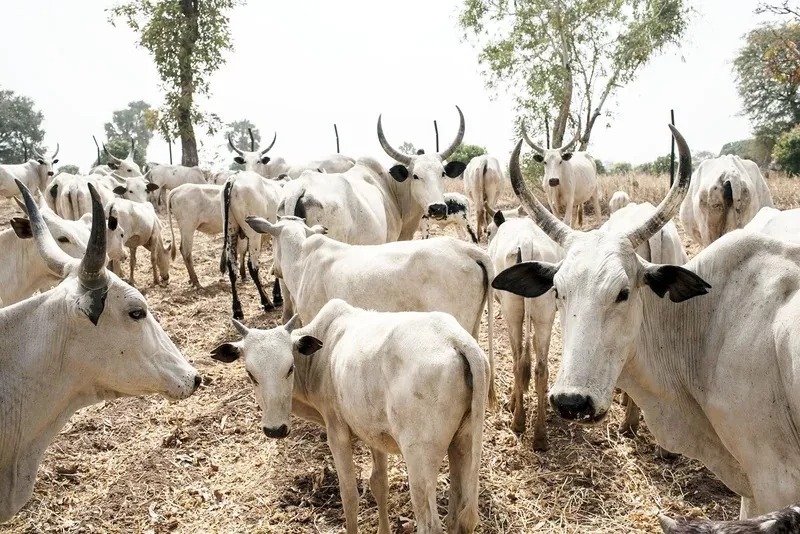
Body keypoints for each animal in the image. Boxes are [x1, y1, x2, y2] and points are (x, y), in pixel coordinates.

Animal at [210, 299, 490, 534]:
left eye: (289, 368)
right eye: (251, 374)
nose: (274, 429)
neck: (322, 355)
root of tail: (455, 339)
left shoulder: (338, 433)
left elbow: (349, 496)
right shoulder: (375, 434)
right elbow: (379, 485)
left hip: (419, 457)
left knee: (430, 524)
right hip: (462, 444)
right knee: (457, 516)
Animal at [220, 172, 283, 319]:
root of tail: (233, 179)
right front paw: (277, 296)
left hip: (231, 231)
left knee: (232, 268)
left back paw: (237, 309)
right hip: (254, 236)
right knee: (252, 266)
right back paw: (266, 302)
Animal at [488, 212, 562, 450]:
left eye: (488, 231)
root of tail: (527, 243)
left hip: (511, 311)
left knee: (518, 362)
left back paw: (518, 421)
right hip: (545, 315)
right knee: (540, 369)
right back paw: (540, 436)